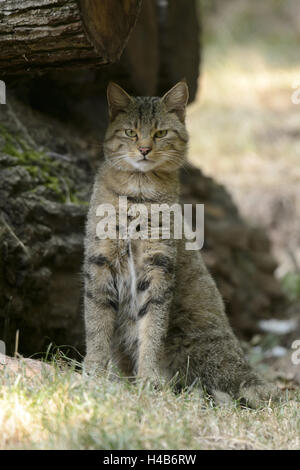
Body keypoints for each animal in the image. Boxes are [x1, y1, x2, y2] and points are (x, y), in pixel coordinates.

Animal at [82, 81, 276, 408]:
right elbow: (97, 322)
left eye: (160, 133)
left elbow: (152, 328)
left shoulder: (158, 265)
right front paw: (94, 372)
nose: (144, 149)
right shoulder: (100, 261)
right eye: (131, 132)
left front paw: (148, 379)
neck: (138, 193)